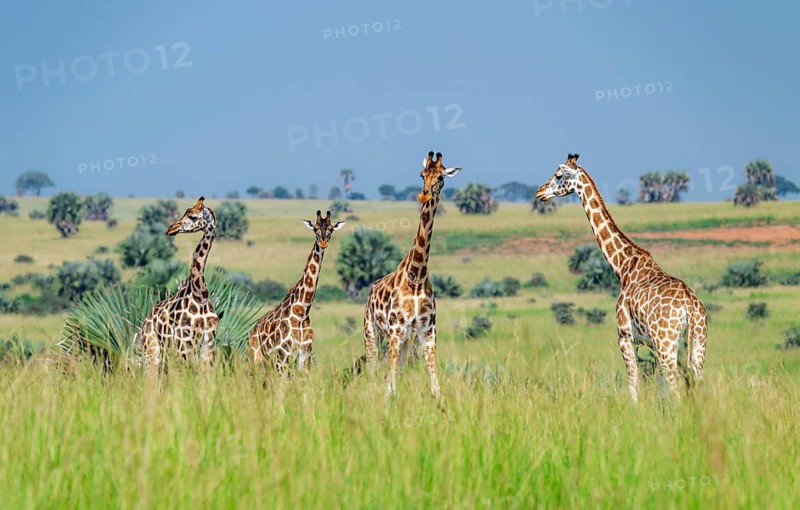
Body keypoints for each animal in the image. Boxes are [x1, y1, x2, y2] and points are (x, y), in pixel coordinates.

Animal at [137, 196, 219, 370]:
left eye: (193, 217)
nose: (170, 229)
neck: (200, 295)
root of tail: (145, 321)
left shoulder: (209, 345)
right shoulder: (184, 343)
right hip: (152, 349)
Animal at [248, 210, 345, 372]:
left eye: (331, 229)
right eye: (315, 229)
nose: (323, 242)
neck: (302, 310)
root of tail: (253, 330)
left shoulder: (305, 354)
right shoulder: (283, 354)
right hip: (256, 358)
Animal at [363, 151, 462, 397]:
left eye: (441, 177)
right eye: (422, 174)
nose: (424, 194)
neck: (416, 275)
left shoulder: (427, 331)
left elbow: (434, 384)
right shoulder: (395, 330)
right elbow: (389, 383)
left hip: (408, 340)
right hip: (372, 332)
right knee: (373, 371)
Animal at [536, 154, 707, 402]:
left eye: (558, 175)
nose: (539, 192)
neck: (623, 265)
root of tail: (690, 308)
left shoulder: (625, 336)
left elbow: (633, 382)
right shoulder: (650, 343)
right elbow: (658, 387)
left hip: (667, 343)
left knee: (675, 386)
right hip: (697, 343)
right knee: (696, 382)